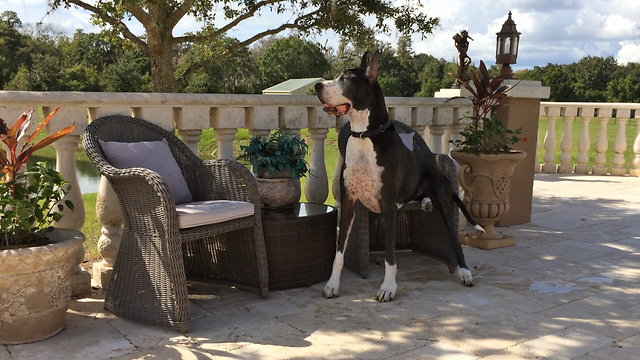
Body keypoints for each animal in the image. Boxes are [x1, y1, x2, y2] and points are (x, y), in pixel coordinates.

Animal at [316, 50, 484, 302]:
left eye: (345, 79)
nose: (316, 85)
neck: (365, 136)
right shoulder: (349, 203)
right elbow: (339, 251)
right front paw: (333, 284)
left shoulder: (387, 206)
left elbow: (389, 254)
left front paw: (388, 287)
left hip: (444, 204)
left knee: (455, 242)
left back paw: (464, 273)